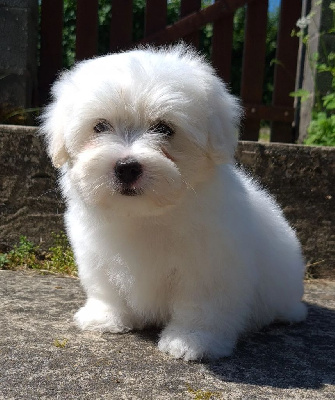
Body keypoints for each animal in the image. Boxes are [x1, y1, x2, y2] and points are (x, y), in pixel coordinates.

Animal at [40, 45, 308, 360]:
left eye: (164, 129)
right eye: (100, 126)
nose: (126, 167)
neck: (144, 216)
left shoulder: (209, 265)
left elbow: (201, 306)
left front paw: (192, 341)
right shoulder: (96, 255)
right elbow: (106, 288)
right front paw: (105, 317)